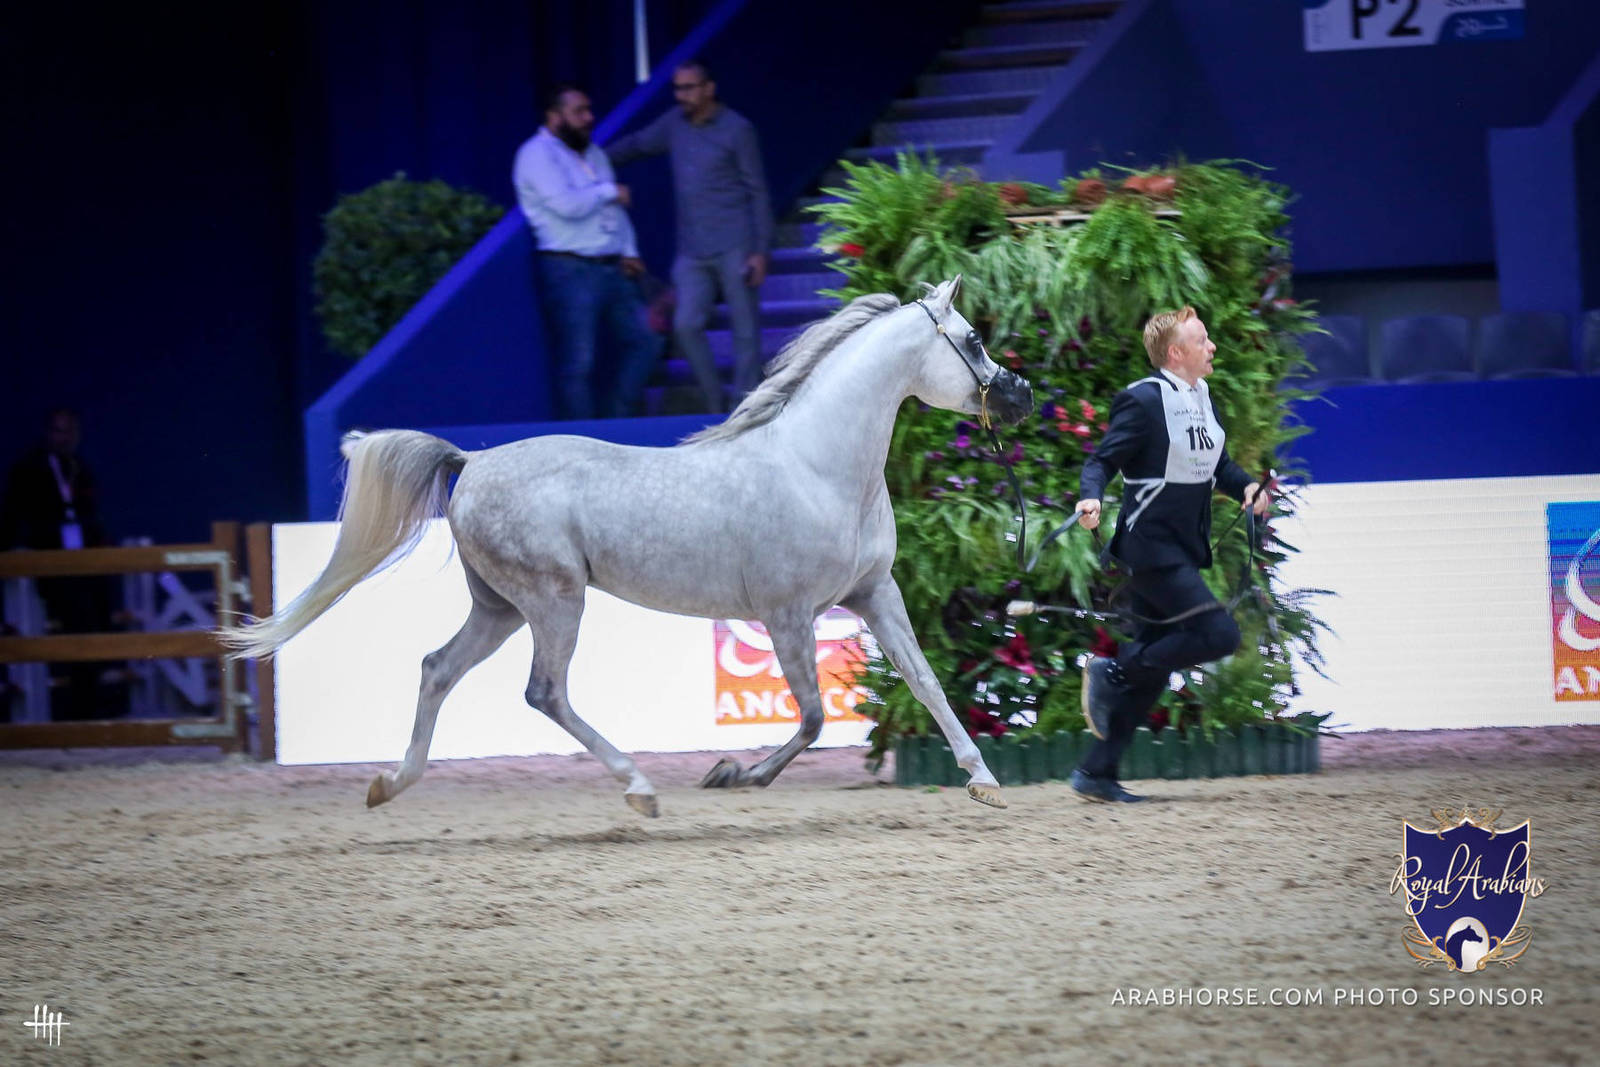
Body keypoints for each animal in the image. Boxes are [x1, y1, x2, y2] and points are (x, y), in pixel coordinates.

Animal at [222, 276, 1033, 816]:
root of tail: (470, 461)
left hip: (501, 608)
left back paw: (390, 784)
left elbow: (926, 681)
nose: (1020, 395)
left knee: (436, 669)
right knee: (544, 691)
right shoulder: (788, 614)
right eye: (973, 340)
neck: (815, 467)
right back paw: (639, 788)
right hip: (554, 600)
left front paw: (984, 779)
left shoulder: (874, 593)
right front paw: (734, 774)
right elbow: (809, 715)